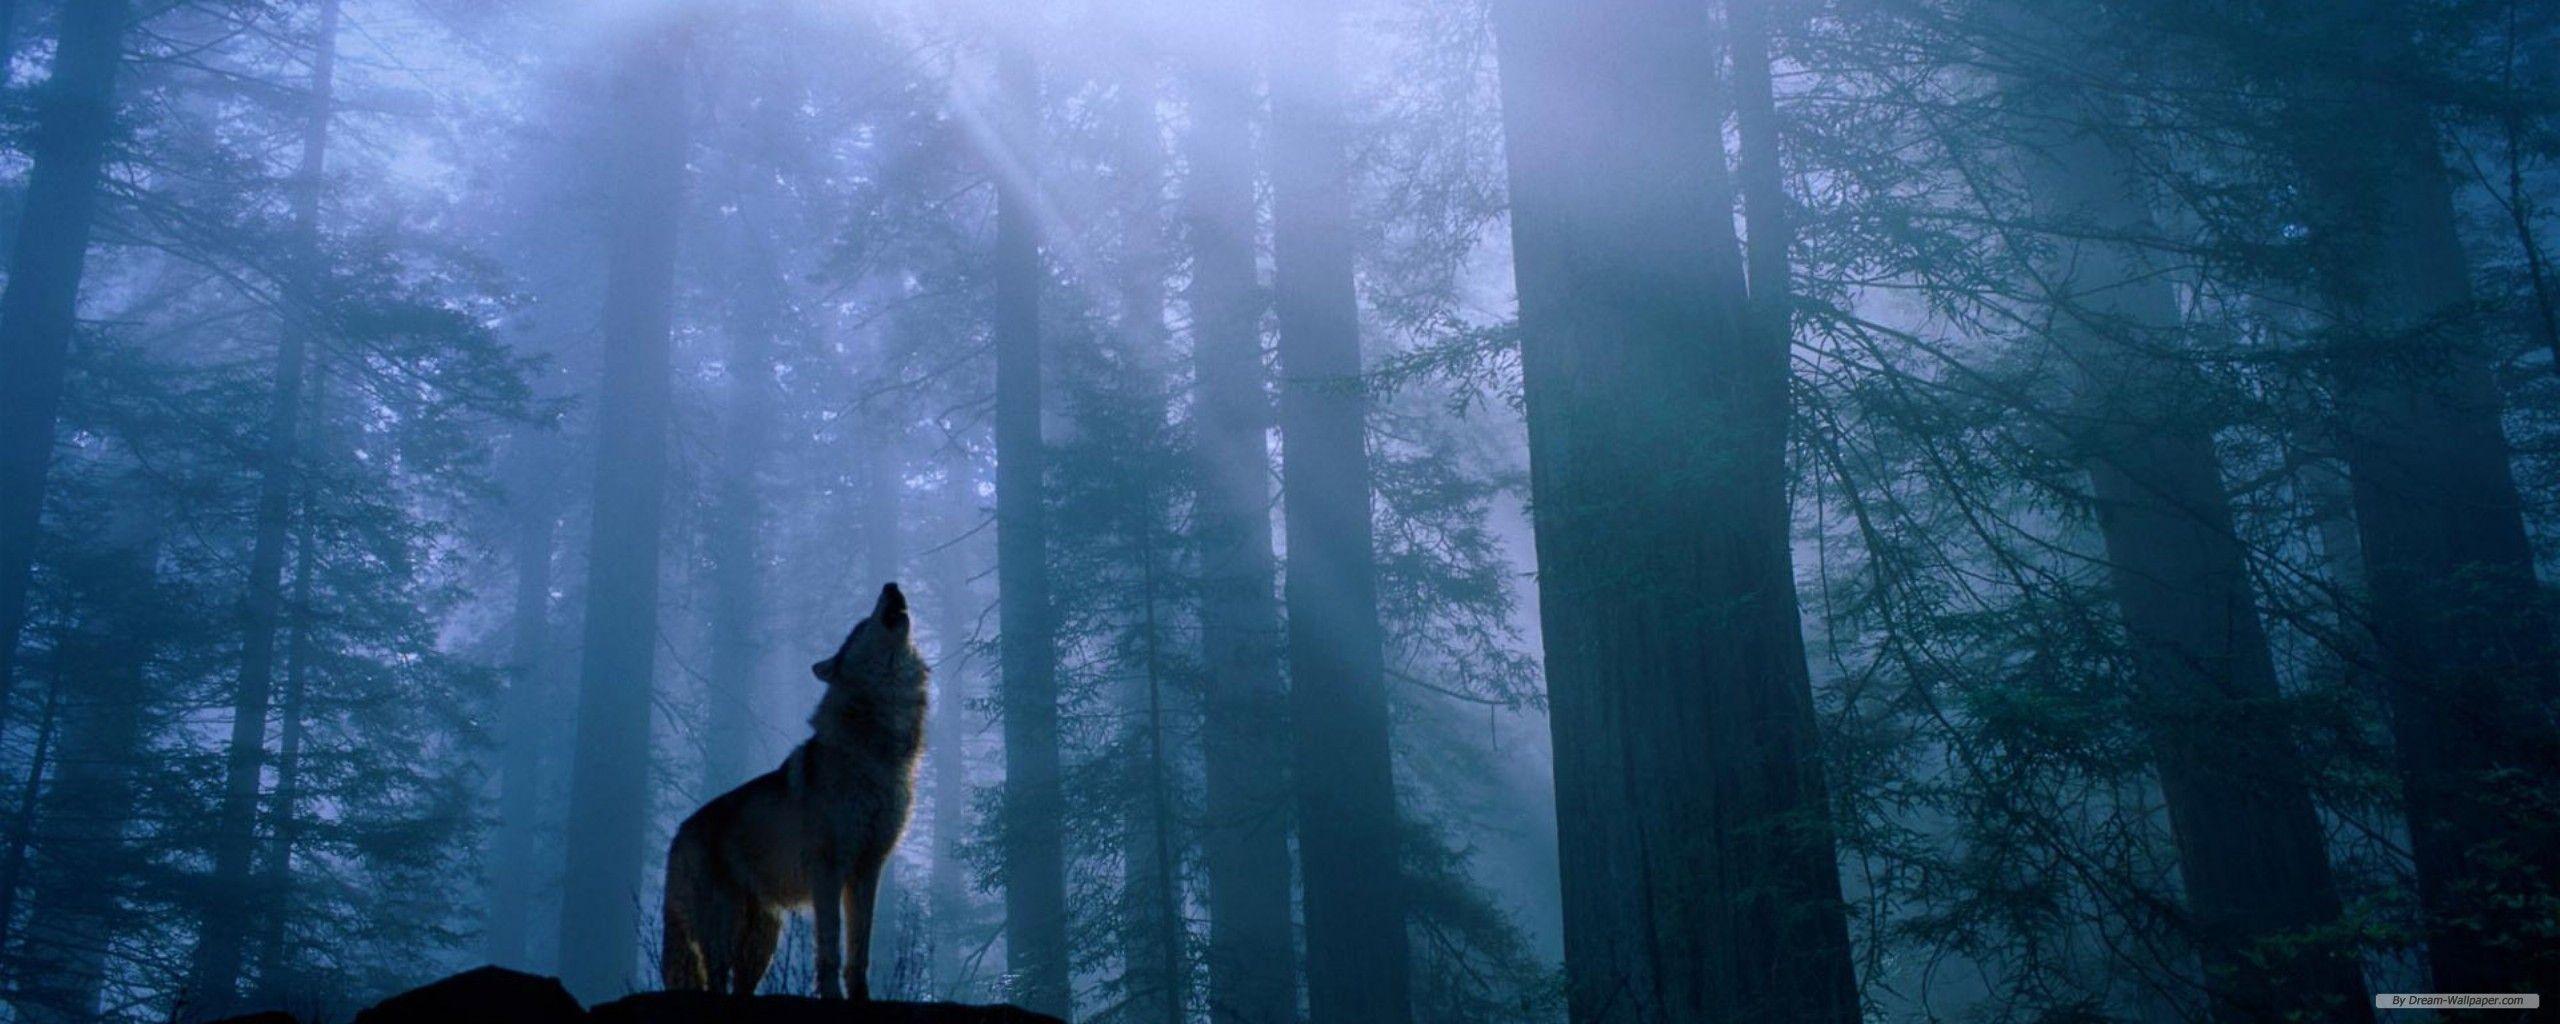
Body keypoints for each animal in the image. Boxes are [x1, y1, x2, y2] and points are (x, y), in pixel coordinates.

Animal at [660, 582, 929, 1000]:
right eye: (861, 625)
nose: (891, 585)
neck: (876, 749)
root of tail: (678, 834)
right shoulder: (828, 872)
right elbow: (830, 948)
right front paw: (832, 997)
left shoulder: (867, 870)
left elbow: (859, 952)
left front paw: (861, 998)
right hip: (722, 931)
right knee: (716, 982)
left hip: (762, 941)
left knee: (740, 987)